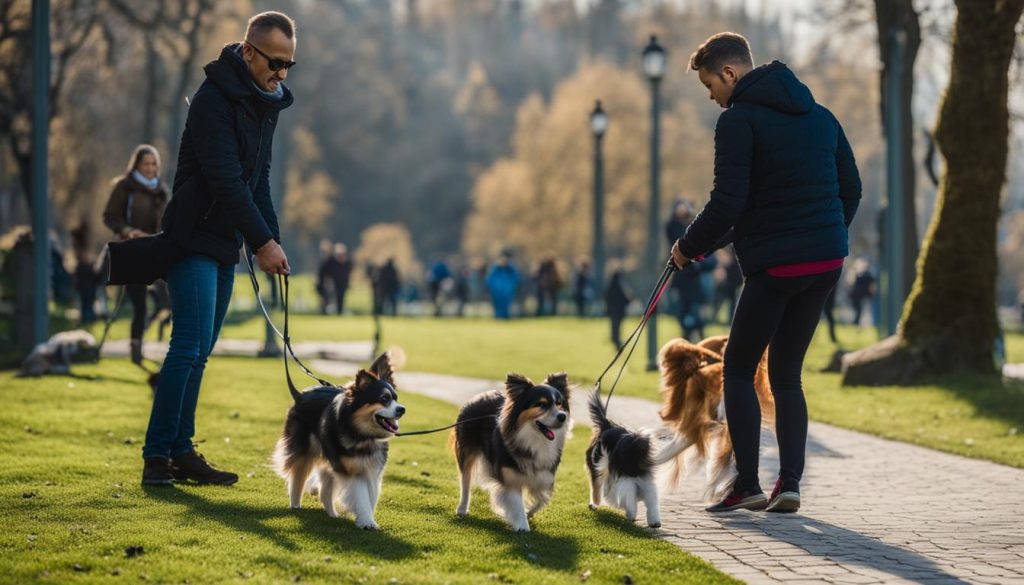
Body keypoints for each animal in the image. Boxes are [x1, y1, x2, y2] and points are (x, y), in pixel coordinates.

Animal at [272, 352, 403, 532]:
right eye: (384, 399)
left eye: (396, 399)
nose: (402, 409)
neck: (362, 434)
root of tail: (299, 395)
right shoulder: (353, 470)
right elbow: (361, 496)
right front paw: (367, 521)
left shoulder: (372, 469)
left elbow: (372, 495)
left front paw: (368, 517)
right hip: (306, 450)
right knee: (297, 478)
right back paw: (295, 505)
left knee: (325, 490)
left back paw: (332, 514)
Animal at [452, 372, 573, 532]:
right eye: (541, 405)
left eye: (560, 404)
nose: (562, 416)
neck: (534, 439)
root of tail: (479, 396)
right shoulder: (509, 478)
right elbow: (516, 503)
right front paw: (522, 525)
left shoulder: (544, 476)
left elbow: (542, 499)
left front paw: (529, 511)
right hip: (467, 451)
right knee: (465, 482)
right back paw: (462, 508)